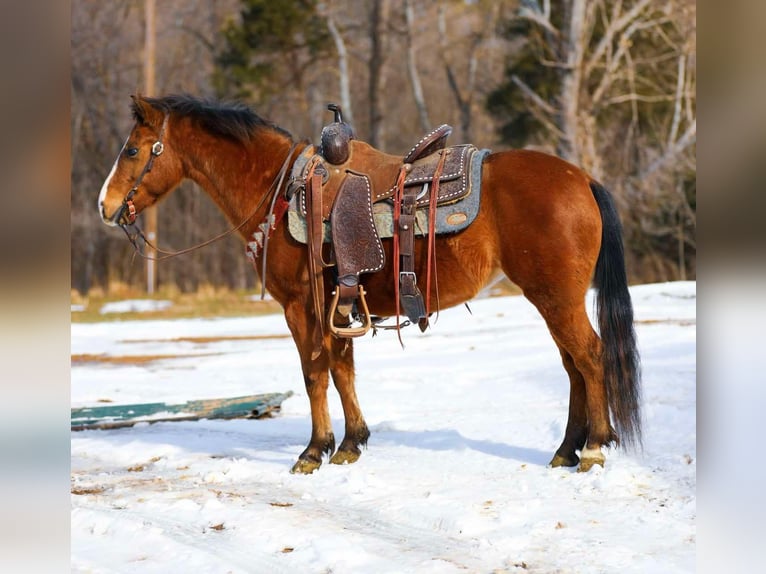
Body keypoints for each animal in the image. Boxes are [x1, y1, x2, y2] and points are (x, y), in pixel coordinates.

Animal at [97, 94, 641, 474]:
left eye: (132, 149)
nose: (105, 206)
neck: (279, 190)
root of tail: (581, 178)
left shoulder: (301, 307)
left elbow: (315, 374)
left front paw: (313, 451)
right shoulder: (339, 305)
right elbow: (343, 371)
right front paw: (351, 443)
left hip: (557, 298)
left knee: (590, 357)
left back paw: (594, 448)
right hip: (552, 298)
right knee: (573, 366)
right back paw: (566, 450)